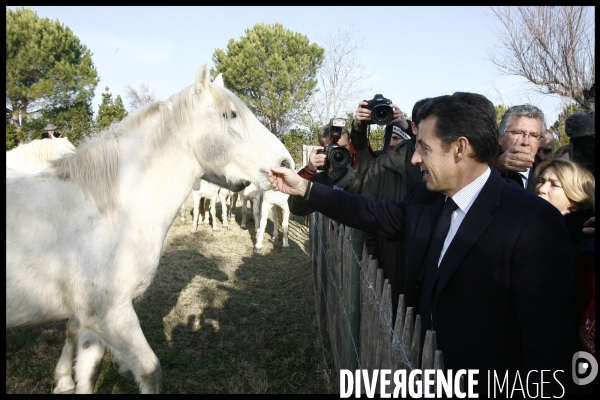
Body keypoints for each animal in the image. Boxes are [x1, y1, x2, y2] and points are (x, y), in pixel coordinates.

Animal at [5, 63, 294, 394]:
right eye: (230, 115)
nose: (286, 163)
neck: (109, 214)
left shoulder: (93, 323)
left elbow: (88, 372)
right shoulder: (111, 315)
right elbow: (149, 370)